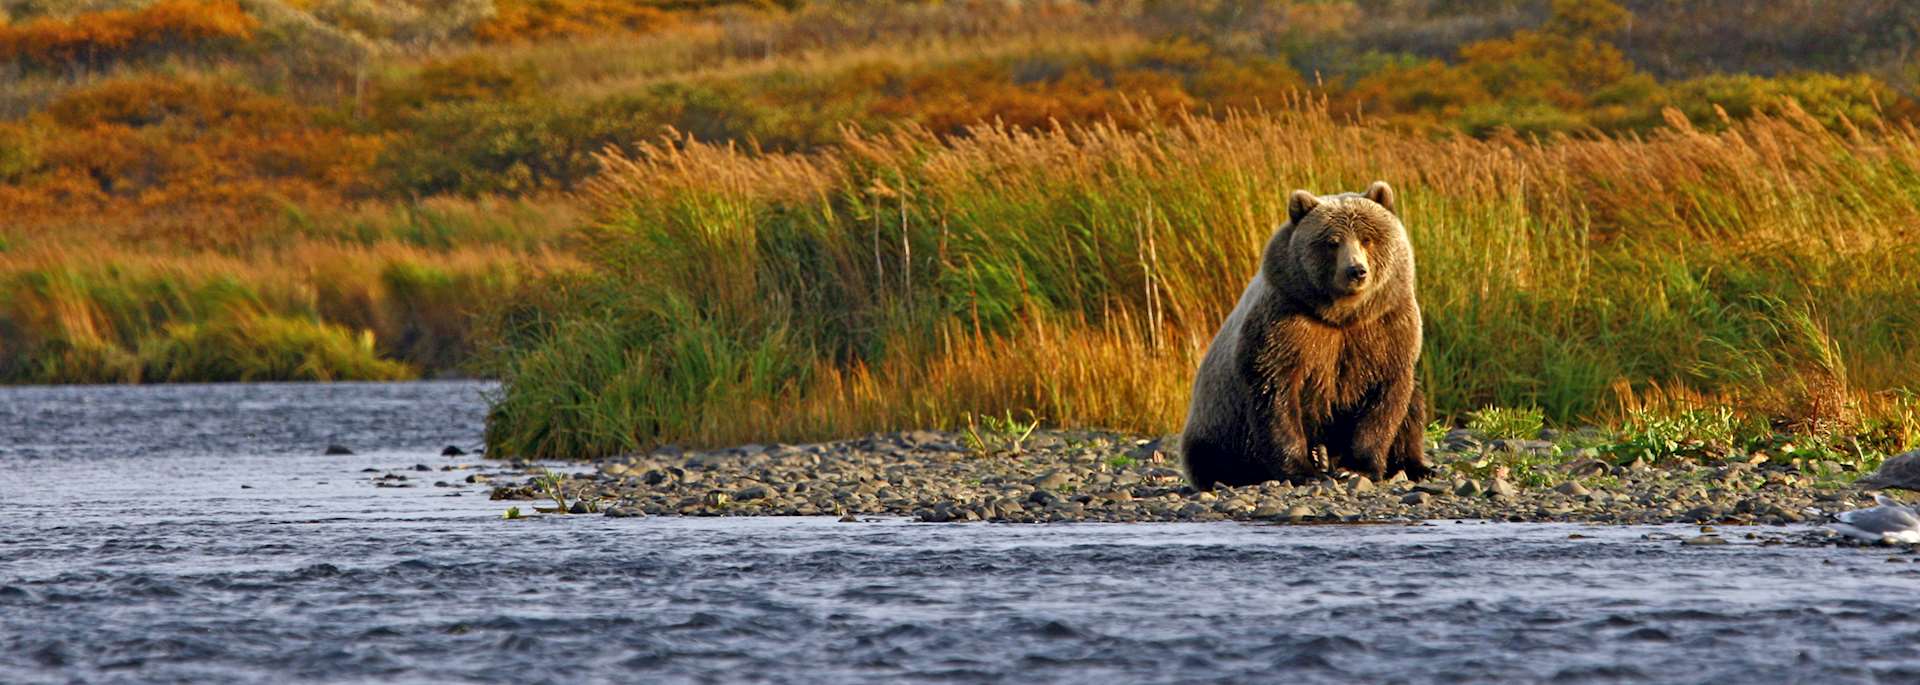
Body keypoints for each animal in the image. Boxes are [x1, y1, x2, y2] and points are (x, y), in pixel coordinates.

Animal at [1180, 181, 1431, 489]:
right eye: (1332, 242)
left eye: (1367, 238)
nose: (1356, 271)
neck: (1343, 315)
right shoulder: (1287, 325)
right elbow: (1277, 395)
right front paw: (1303, 470)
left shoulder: (1386, 327)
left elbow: (1385, 399)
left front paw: (1356, 468)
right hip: (1217, 423)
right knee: (1213, 456)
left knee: (1414, 407)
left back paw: (1413, 466)